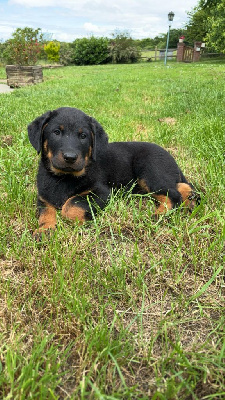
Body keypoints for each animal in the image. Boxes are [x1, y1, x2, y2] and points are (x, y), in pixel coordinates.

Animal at [28, 108, 199, 236]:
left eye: (83, 136)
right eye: (56, 132)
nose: (70, 157)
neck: (64, 177)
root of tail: (170, 157)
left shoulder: (102, 193)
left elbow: (70, 205)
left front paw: (81, 220)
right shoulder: (43, 198)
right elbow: (46, 212)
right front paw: (44, 230)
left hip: (150, 171)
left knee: (173, 194)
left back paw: (159, 215)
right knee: (182, 186)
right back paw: (190, 201)